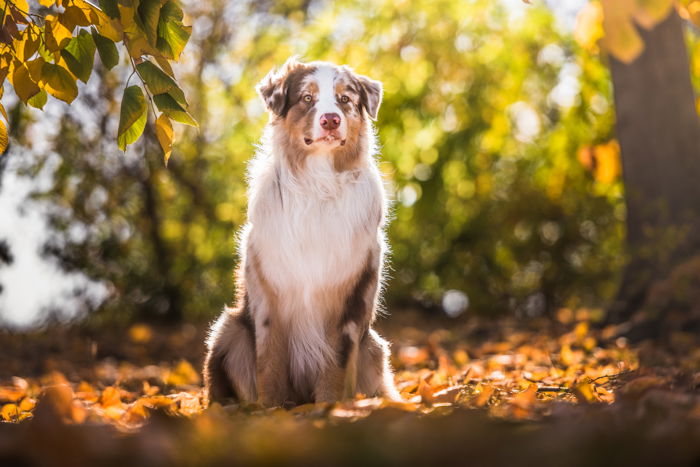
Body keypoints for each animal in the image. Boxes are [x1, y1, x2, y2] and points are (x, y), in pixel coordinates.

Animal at [202, 56, 400, 406]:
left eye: (345, 99)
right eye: (307, 98)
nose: (331, 120)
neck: (318, 183)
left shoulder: (352, 294)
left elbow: (337, 362)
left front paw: (332, 407)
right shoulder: (269, 293)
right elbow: (270, 360)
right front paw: (271, 409)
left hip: (374, 347)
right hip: (228, 328)